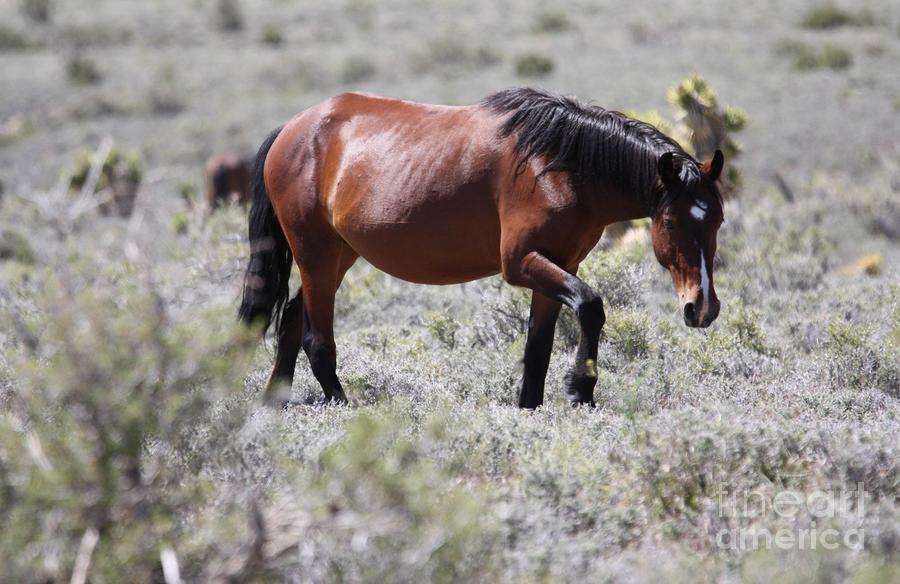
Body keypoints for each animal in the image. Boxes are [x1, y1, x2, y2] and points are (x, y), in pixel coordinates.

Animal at [237, 89, 724, 408]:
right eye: (670, 221)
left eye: (718, 219)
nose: (701, 308)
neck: (557, 166)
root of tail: (291, 130)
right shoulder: (522, 263)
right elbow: (591, 305)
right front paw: (580, 390)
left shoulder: (557, 266)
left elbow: (538, 348)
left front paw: (530, 408)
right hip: (316, 252)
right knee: (316, 340)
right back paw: (345, 407)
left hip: (337, 255)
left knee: (291, 320)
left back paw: (272, 402)